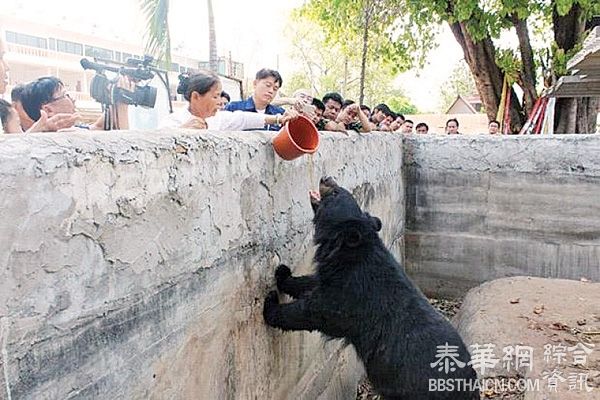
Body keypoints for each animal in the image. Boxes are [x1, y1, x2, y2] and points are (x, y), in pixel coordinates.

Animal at [262, 178, 478, 400]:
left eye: (336, 193)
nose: (326, 178)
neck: (347, 250)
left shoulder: (352, 294)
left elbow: (316, 311)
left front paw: (270, 304)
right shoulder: (337, 275)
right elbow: (313, 283)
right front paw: (282, 274)